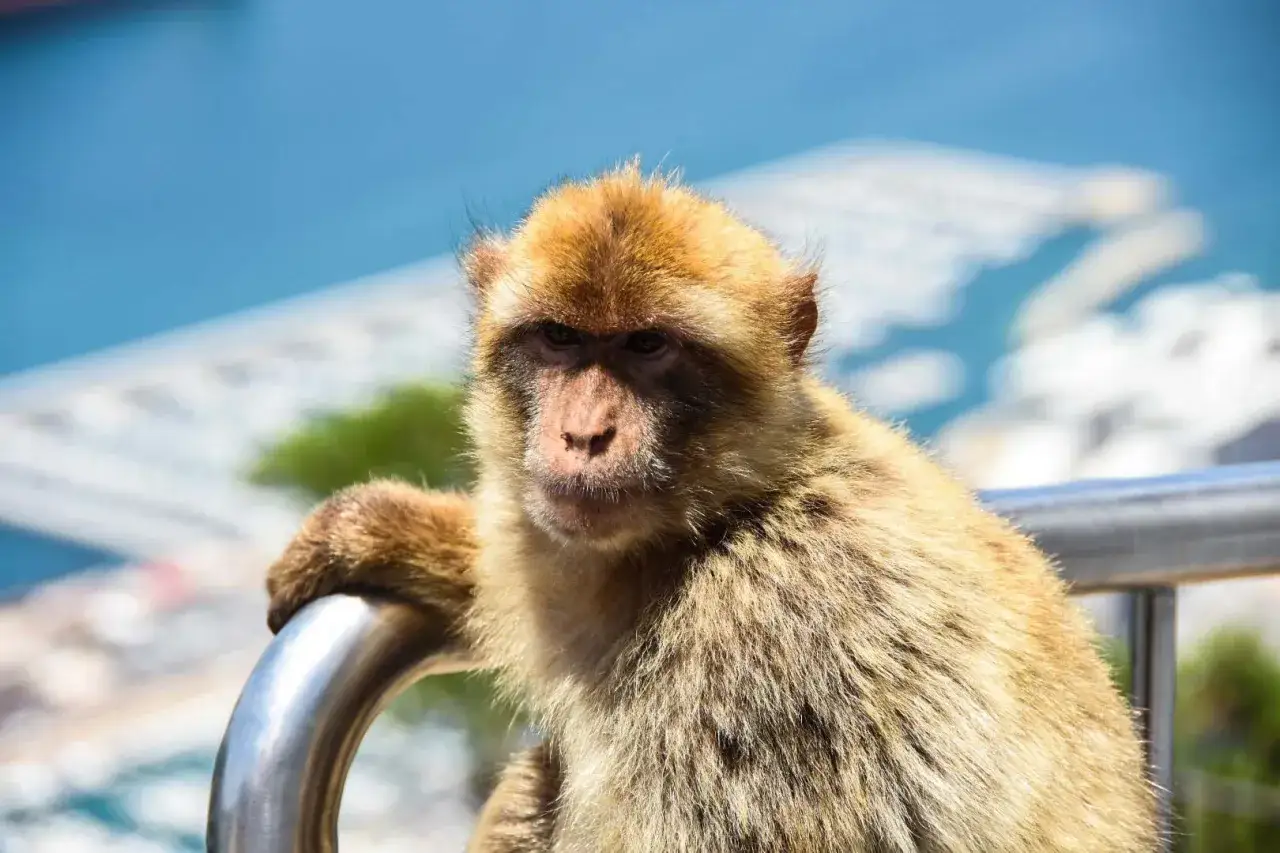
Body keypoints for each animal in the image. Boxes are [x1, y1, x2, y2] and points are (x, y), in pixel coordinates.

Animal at [265, 162, 1158, 852]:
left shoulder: (765, 648)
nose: (585, 433)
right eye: (558, 338)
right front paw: (378, 527)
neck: (726, 517)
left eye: (648, 345)